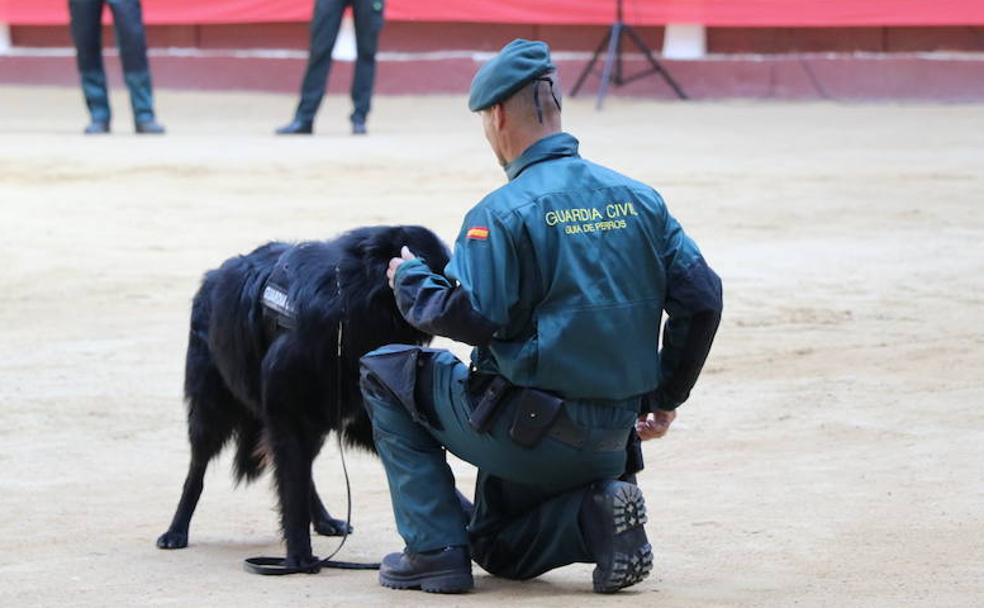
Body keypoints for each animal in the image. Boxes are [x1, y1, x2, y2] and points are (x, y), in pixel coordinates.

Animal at [157, 224, 450, 568]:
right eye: (441, 271)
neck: (348, 300)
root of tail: (212, 278)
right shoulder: (288, 414)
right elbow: (292, 487)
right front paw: (299, 556)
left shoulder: (353, 415)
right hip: (212, 412)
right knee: (198, 469)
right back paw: (176, 530)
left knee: (303, 469)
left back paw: (323, 519)